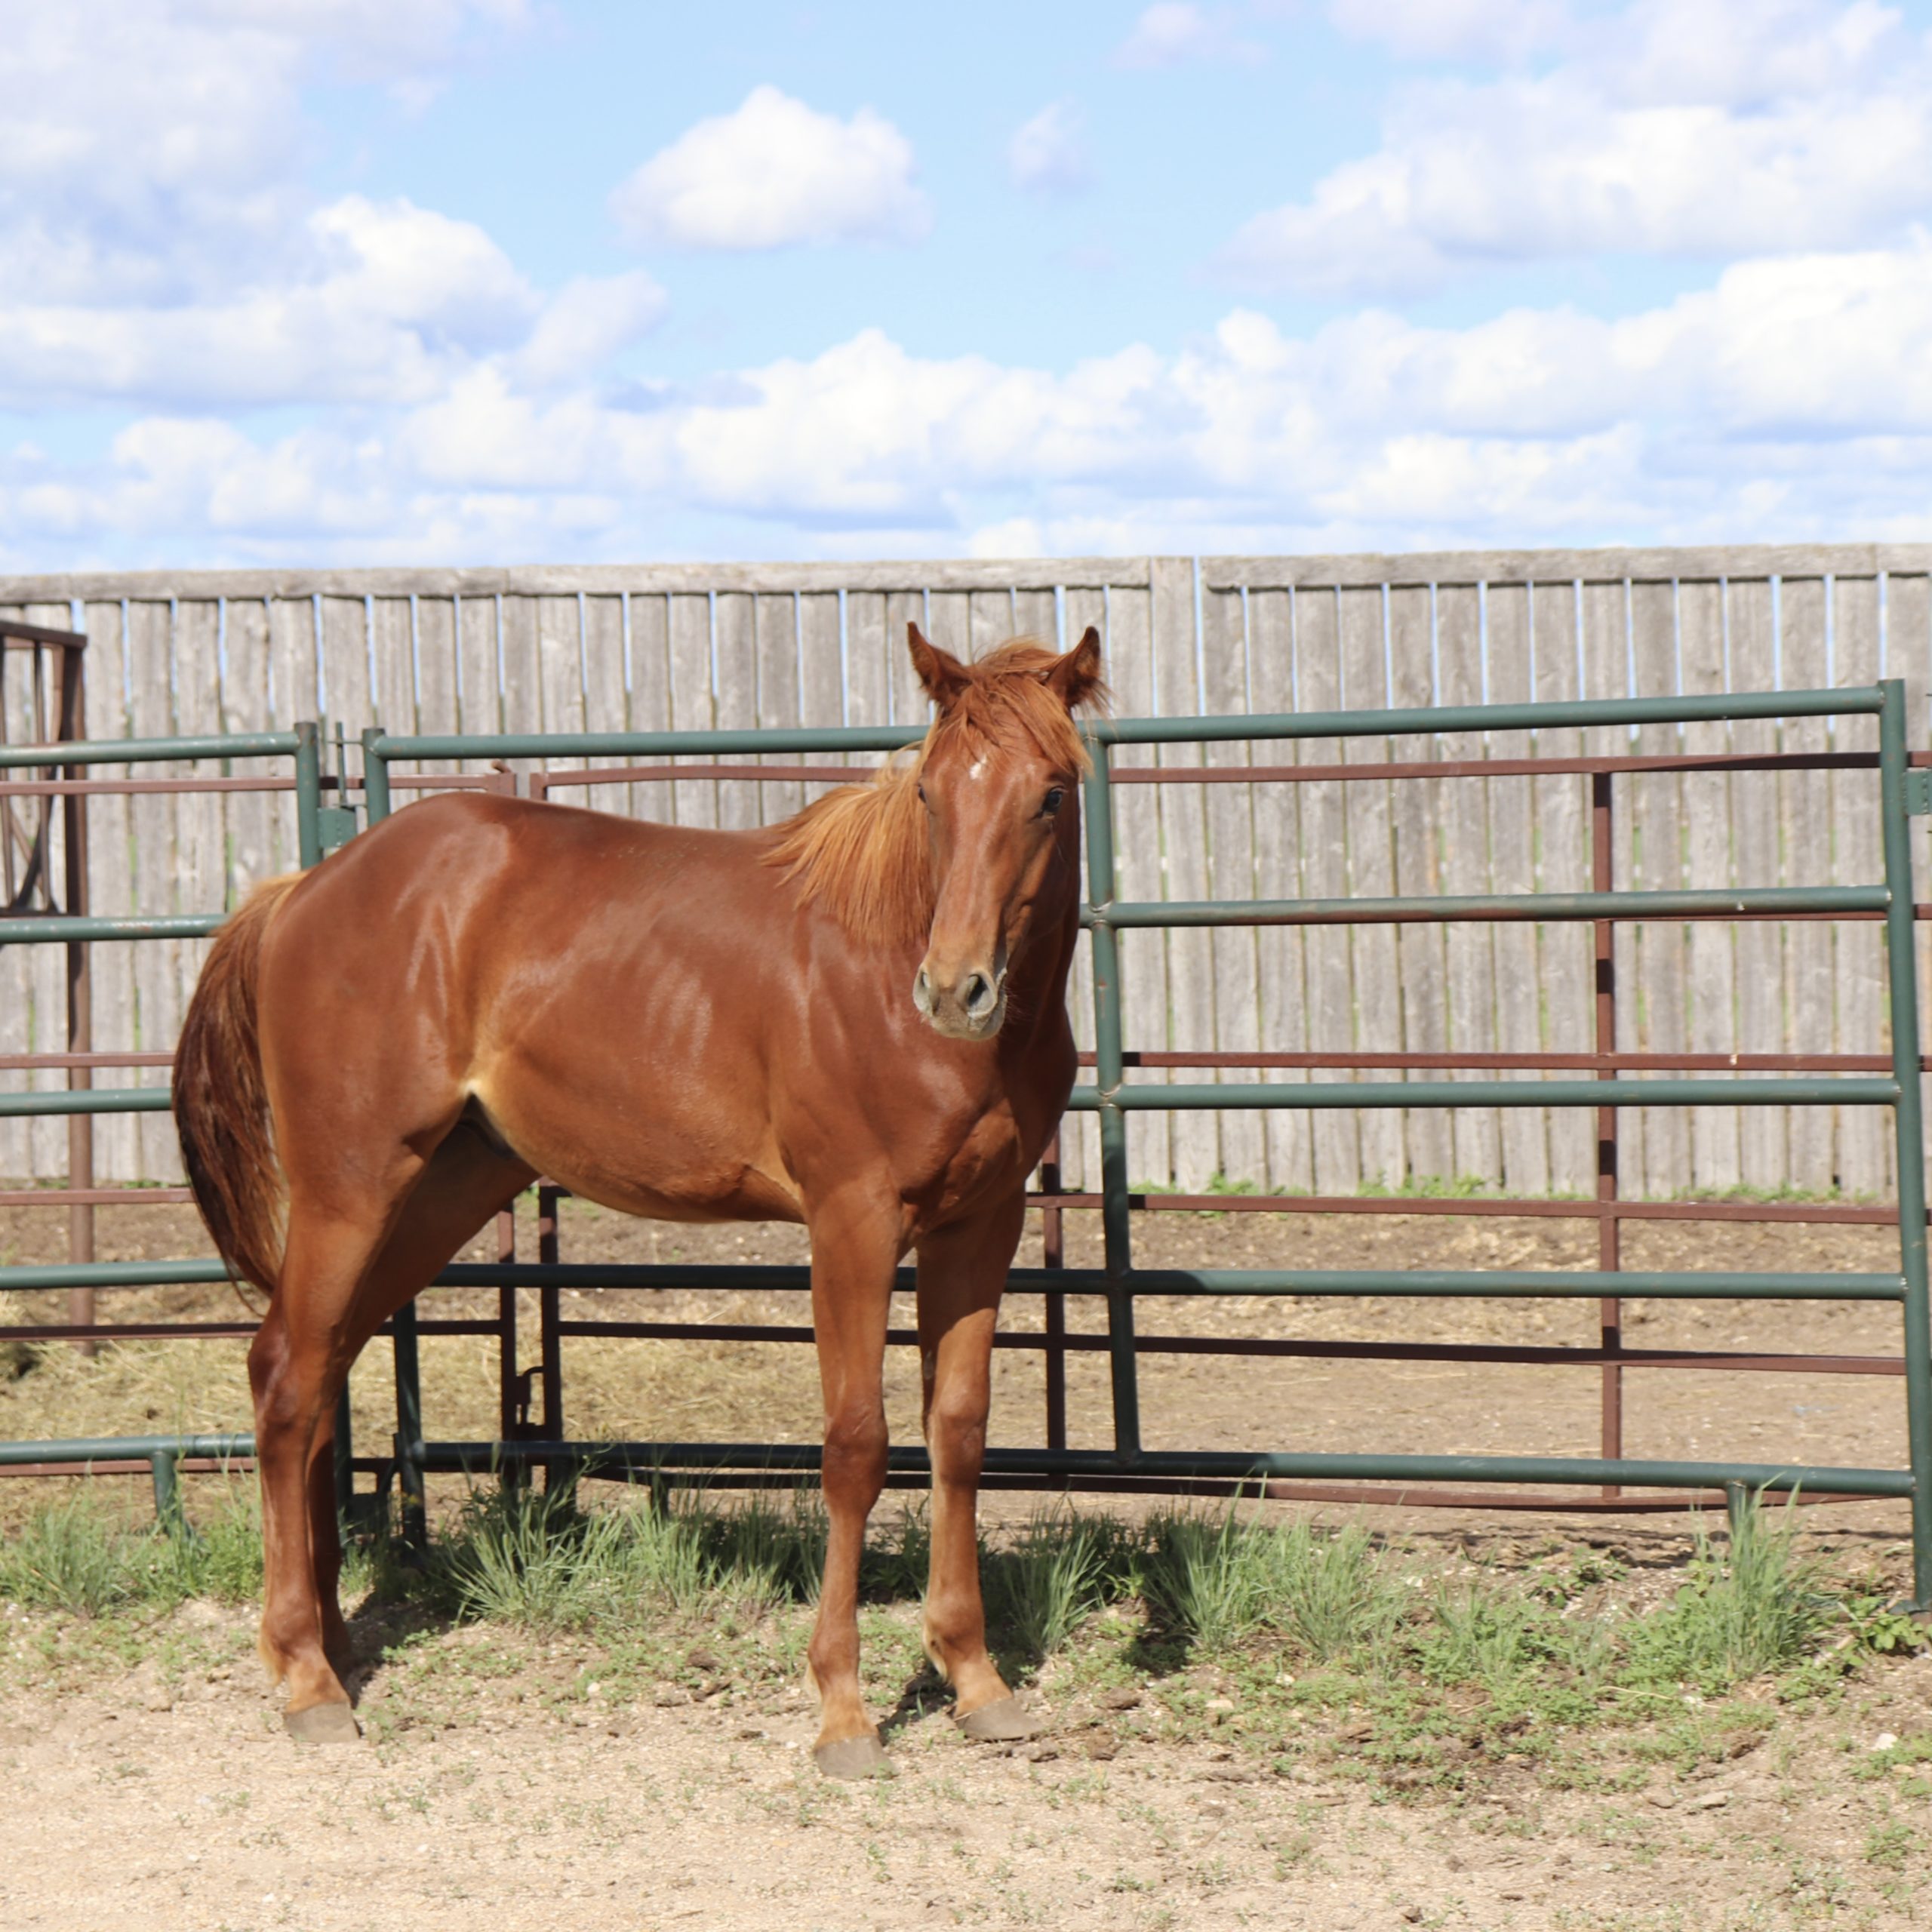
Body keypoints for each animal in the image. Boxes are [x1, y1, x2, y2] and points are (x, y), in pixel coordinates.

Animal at [174, 626, 1112, 1769]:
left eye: (1051, 794)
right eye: (931, 791)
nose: (955, 989)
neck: (888, 971)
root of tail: (308, 886)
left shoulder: (980, 1225)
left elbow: (961, 1435)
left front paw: (976, 1679)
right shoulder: (852, 1221)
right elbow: (854, 1446)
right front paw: (843, 1710)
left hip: (440, 1189)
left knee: (320, 1374)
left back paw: (328, 1646)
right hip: (349, 1188)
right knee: (284, 1377)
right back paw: (307, 1681)